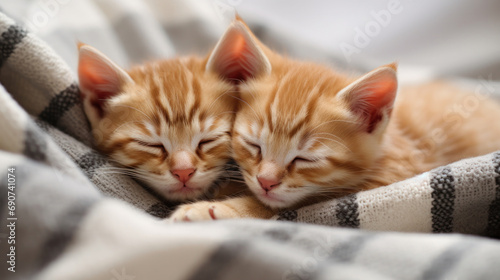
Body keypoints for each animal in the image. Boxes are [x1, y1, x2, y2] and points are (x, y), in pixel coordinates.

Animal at [169, 17, 500, 221]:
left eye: (305, 159)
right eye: (254, 146)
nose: (265, 182)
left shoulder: (392, 177)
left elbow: (295, 203)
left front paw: (217, 209)